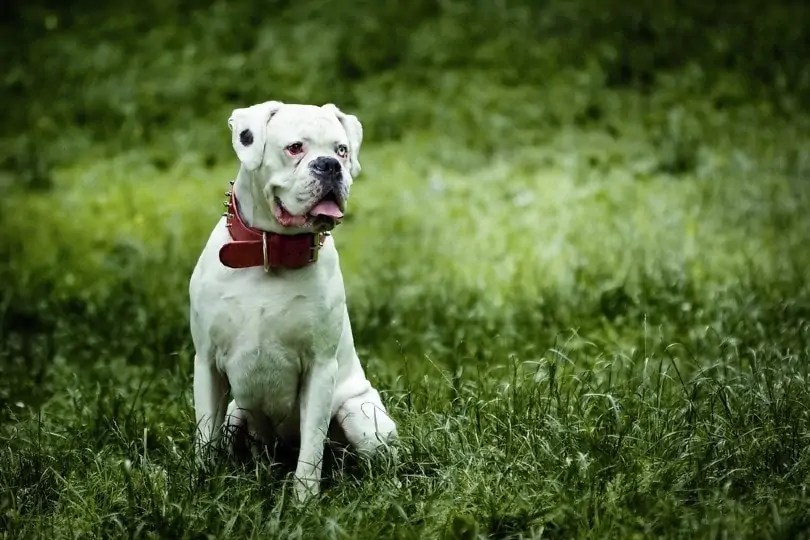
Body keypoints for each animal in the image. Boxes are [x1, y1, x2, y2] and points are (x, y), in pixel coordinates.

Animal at [187, 100, 394, 502]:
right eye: (295, 147)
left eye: (342, 150)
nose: (330, 165)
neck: (272, 252)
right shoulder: (206, 364)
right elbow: (206, 437)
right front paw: (199, 486)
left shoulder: (319, 369)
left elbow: (311, 449)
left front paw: (304, 501)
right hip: (237, 411)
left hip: (358, 414)